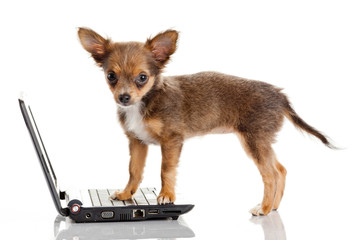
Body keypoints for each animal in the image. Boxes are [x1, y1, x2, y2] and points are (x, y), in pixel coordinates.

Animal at [77, 27, 334, 216]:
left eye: (142, 78)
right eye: (111, 76)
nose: (123, 97)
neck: (144, 102)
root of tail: (280, 96)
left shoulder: (171, 141)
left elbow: (165, 170)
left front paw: (166, 196)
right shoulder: (137, 141)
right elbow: (134, 171)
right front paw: (126, 195)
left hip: (254, 141)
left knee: (270, 175)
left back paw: (263, 208)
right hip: (261, 142)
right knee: (281, 170)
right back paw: (274, 207)